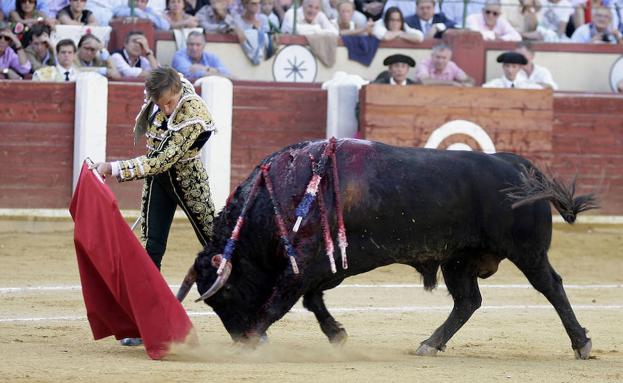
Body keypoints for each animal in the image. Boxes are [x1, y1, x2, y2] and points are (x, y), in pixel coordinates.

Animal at [178, 140, 596, 360]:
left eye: (224, 295)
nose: (239, 338)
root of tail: (516, 164)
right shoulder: (323, 267)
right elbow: (312, 301)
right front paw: (337, 334)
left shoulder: (303, 266)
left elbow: (278, 305)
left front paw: (253, 339)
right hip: (458, 260)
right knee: (468, 301)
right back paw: (430, 344)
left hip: (527, 252)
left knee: (551, 287)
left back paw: (581, 343)